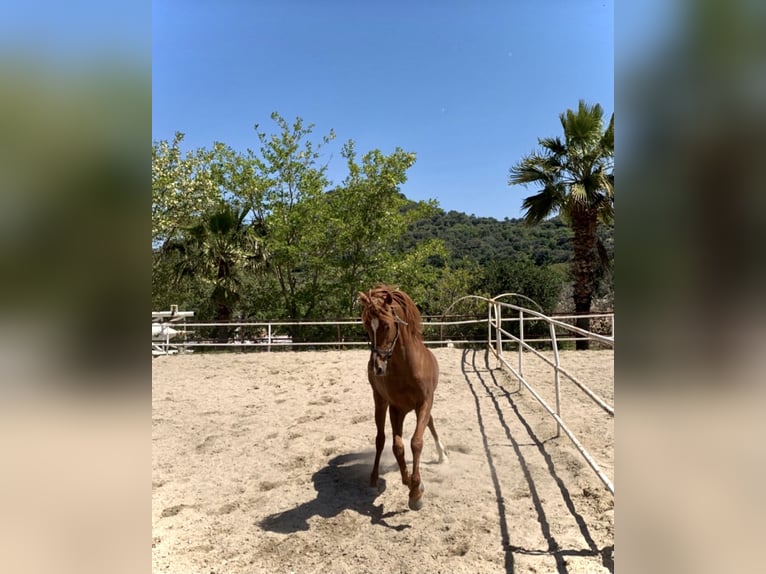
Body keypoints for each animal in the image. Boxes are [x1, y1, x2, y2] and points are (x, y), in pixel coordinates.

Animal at [360, 286, 450, 510]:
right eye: (366, 326)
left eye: (386, 325)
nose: (377, 367)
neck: (408, 368)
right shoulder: (396, 409)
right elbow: (397, 447)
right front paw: (412, 485)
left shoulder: (425, 403)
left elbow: (416, 443)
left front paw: (415, 492)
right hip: (379, 401)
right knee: (380, 439)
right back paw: (373, 479)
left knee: (430, 424)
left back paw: (442, 455)